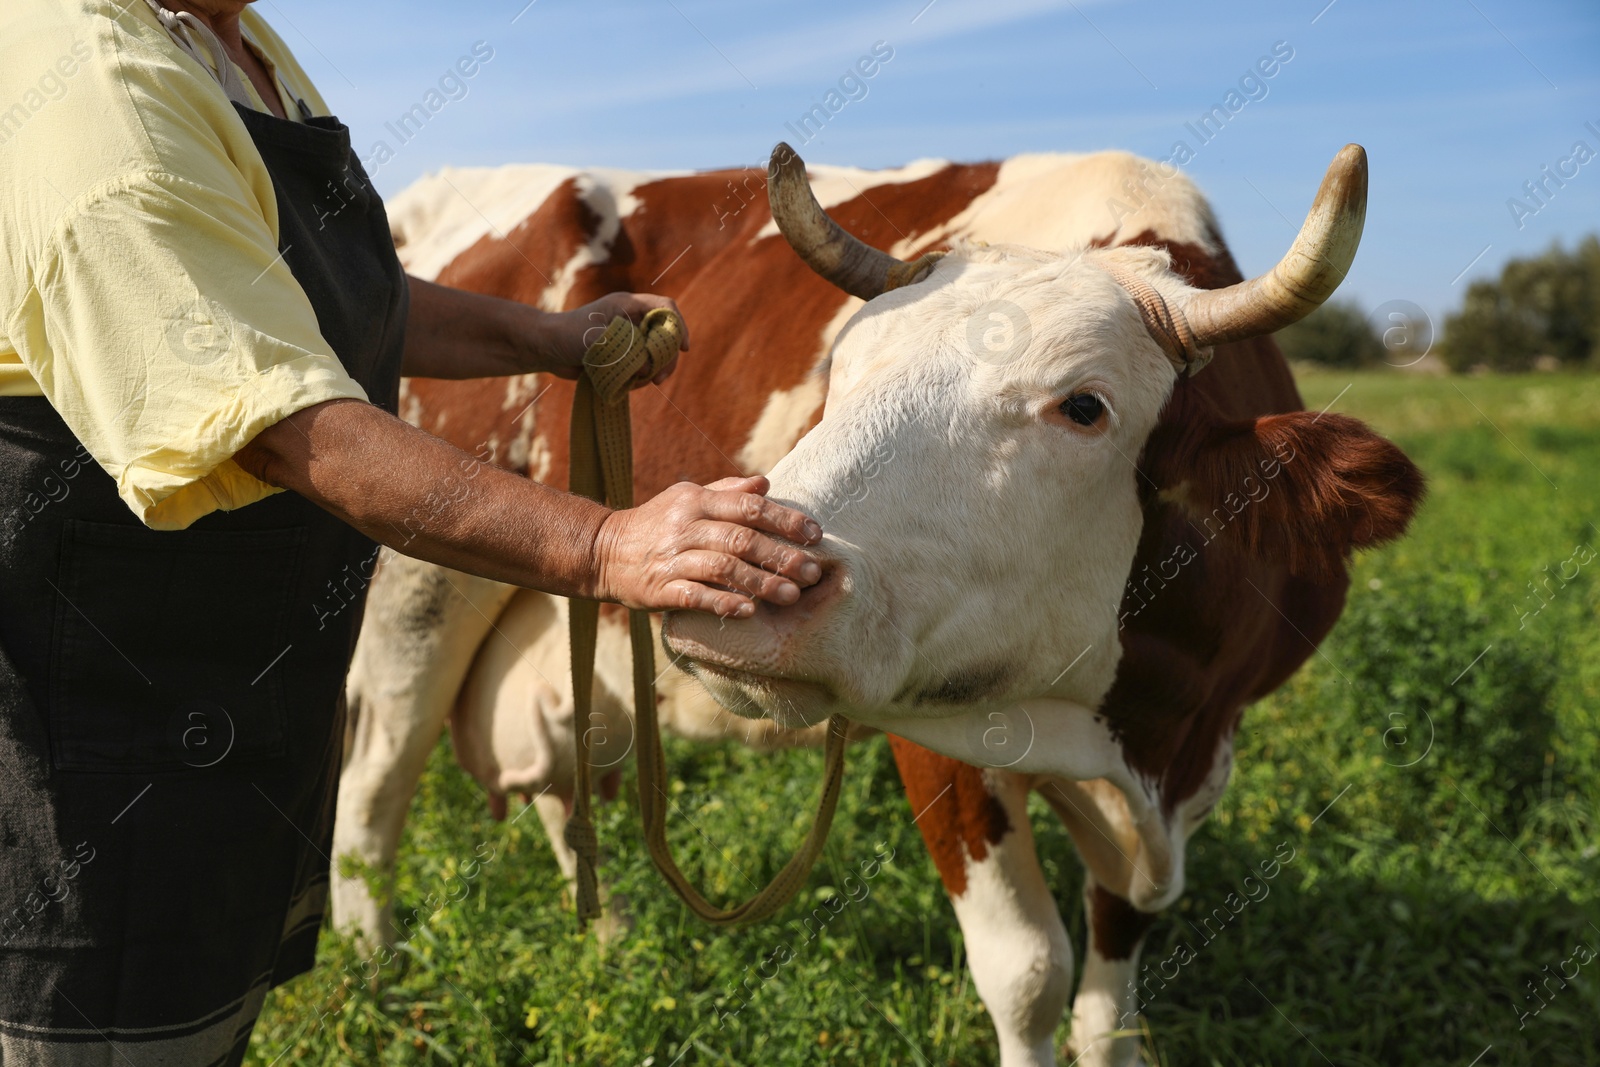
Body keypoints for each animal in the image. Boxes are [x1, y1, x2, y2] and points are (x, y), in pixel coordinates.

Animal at [331, 143, 1420, 1067]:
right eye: (840, 377)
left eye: (1084, 406)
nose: (740, 585)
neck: (1134, 730)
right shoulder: (937, 731)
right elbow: (1029, 972)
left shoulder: (1198, 751)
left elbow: (1112, 993)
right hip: (416, 589)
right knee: (374, 787)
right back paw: (373, 974)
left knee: (571, 779)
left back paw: (614, 945)